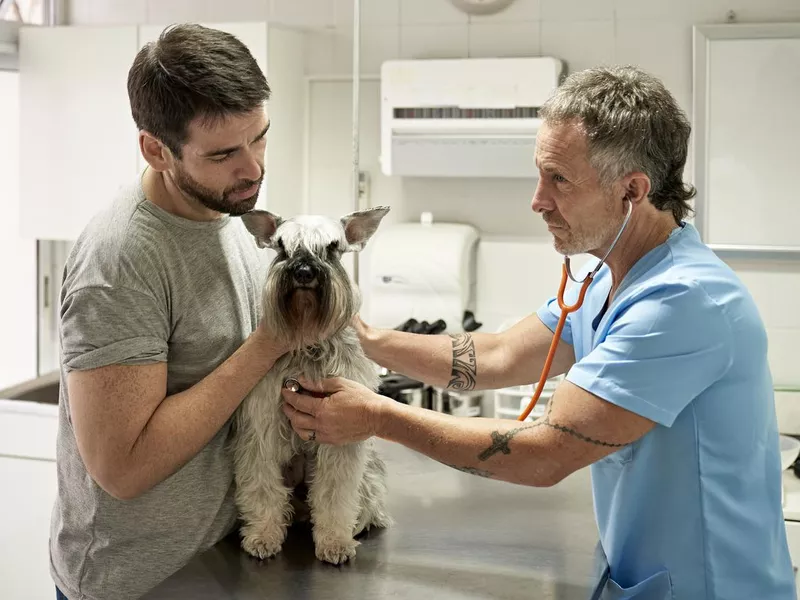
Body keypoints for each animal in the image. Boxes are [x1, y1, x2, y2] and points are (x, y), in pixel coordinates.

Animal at [231, 204, 394, 564]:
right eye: (282, 246)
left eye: (332, 247)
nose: (304, 272)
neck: (307, 344)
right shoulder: (262, 429)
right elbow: (262, 486)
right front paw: (263, 535)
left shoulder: (339, 436)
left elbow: (334, 493)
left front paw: (335, 541)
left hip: (368, 472)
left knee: (369, 500)